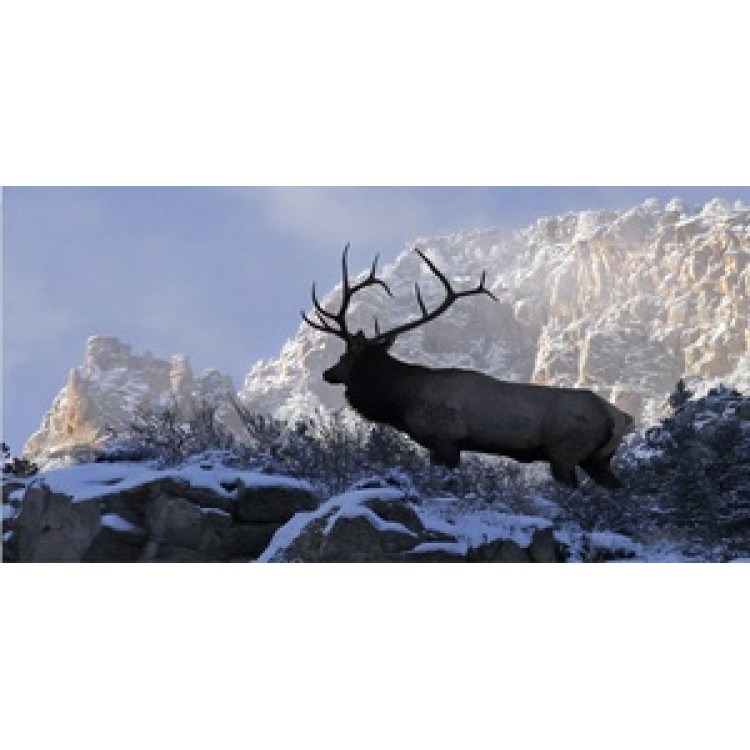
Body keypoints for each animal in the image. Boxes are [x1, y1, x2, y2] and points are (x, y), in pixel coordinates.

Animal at [302, 244, 634, 489]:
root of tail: (619, 417)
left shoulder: (446, 439)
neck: (404, 400)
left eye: (347, 355)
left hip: (563, 452)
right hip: (597, 459)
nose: (327, 373)